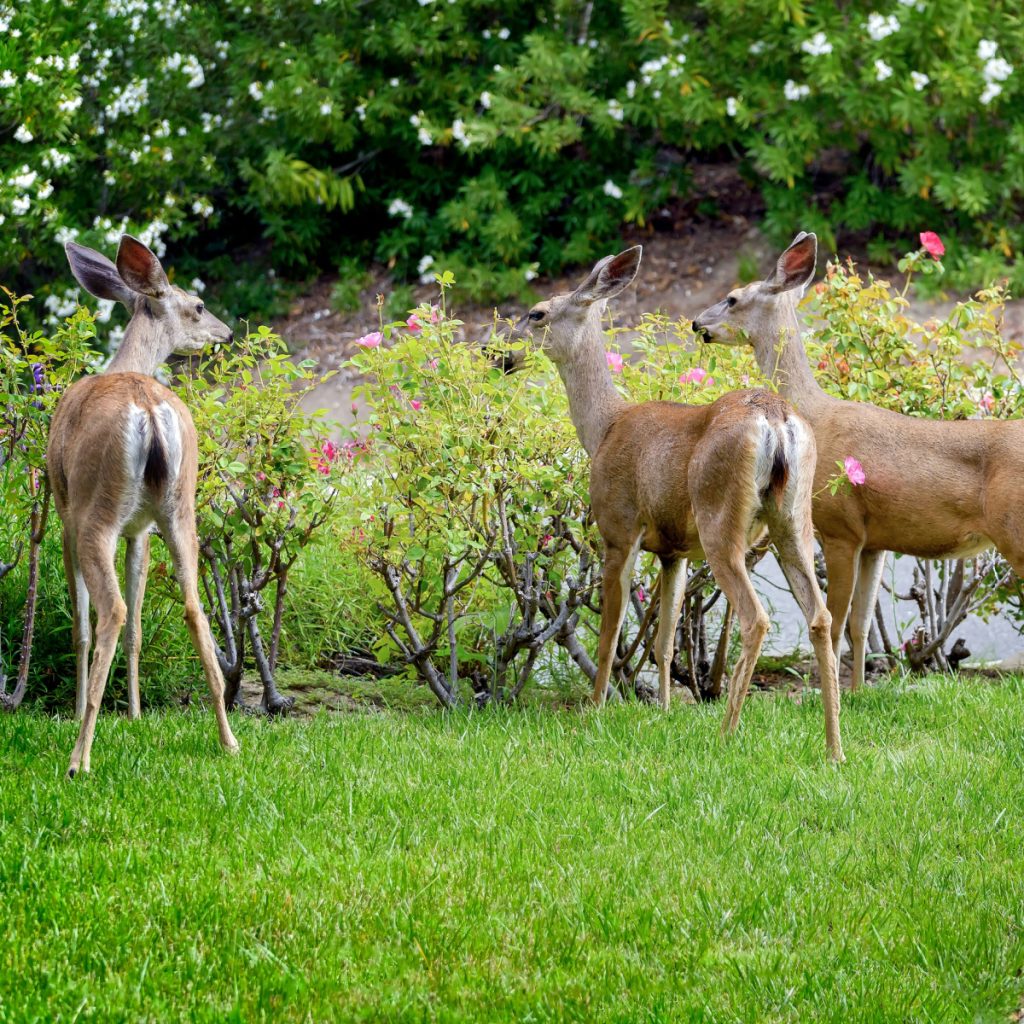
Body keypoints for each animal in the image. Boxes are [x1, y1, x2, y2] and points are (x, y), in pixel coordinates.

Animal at [49, 234, 239, 774]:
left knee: (109, 612)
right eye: (199, 306)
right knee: (193, 607)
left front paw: (79, 712)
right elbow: (137, 625)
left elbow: (82, 623)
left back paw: (79, 757)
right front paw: (134, 714)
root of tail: (150, 409)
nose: (225, 331)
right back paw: (228, 739)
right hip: (180, 509)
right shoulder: (140, 529)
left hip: (96, 511)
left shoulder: (65, 513)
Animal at [507, 245, 843, 761]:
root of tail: (775, 417)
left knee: (755, 618)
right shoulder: (673, 551)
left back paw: (727, 735)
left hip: (720, 518)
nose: (500, 354)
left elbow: (608, 637)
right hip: (794, 519)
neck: (603, 429)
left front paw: (595, 710)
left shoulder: (618, 528)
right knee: (820, 616)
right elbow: (664, 639)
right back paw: (833, 747)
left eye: (538, 313)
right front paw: (664, 710)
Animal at [692, 231, 1024, 692]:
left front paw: (829, 692)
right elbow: (860, 624)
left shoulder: (841, 527)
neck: (816, 415)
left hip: (1015, 530)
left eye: (733, 298)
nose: (696, 323)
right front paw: (858, 692)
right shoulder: (875, 541)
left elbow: (834, 623)